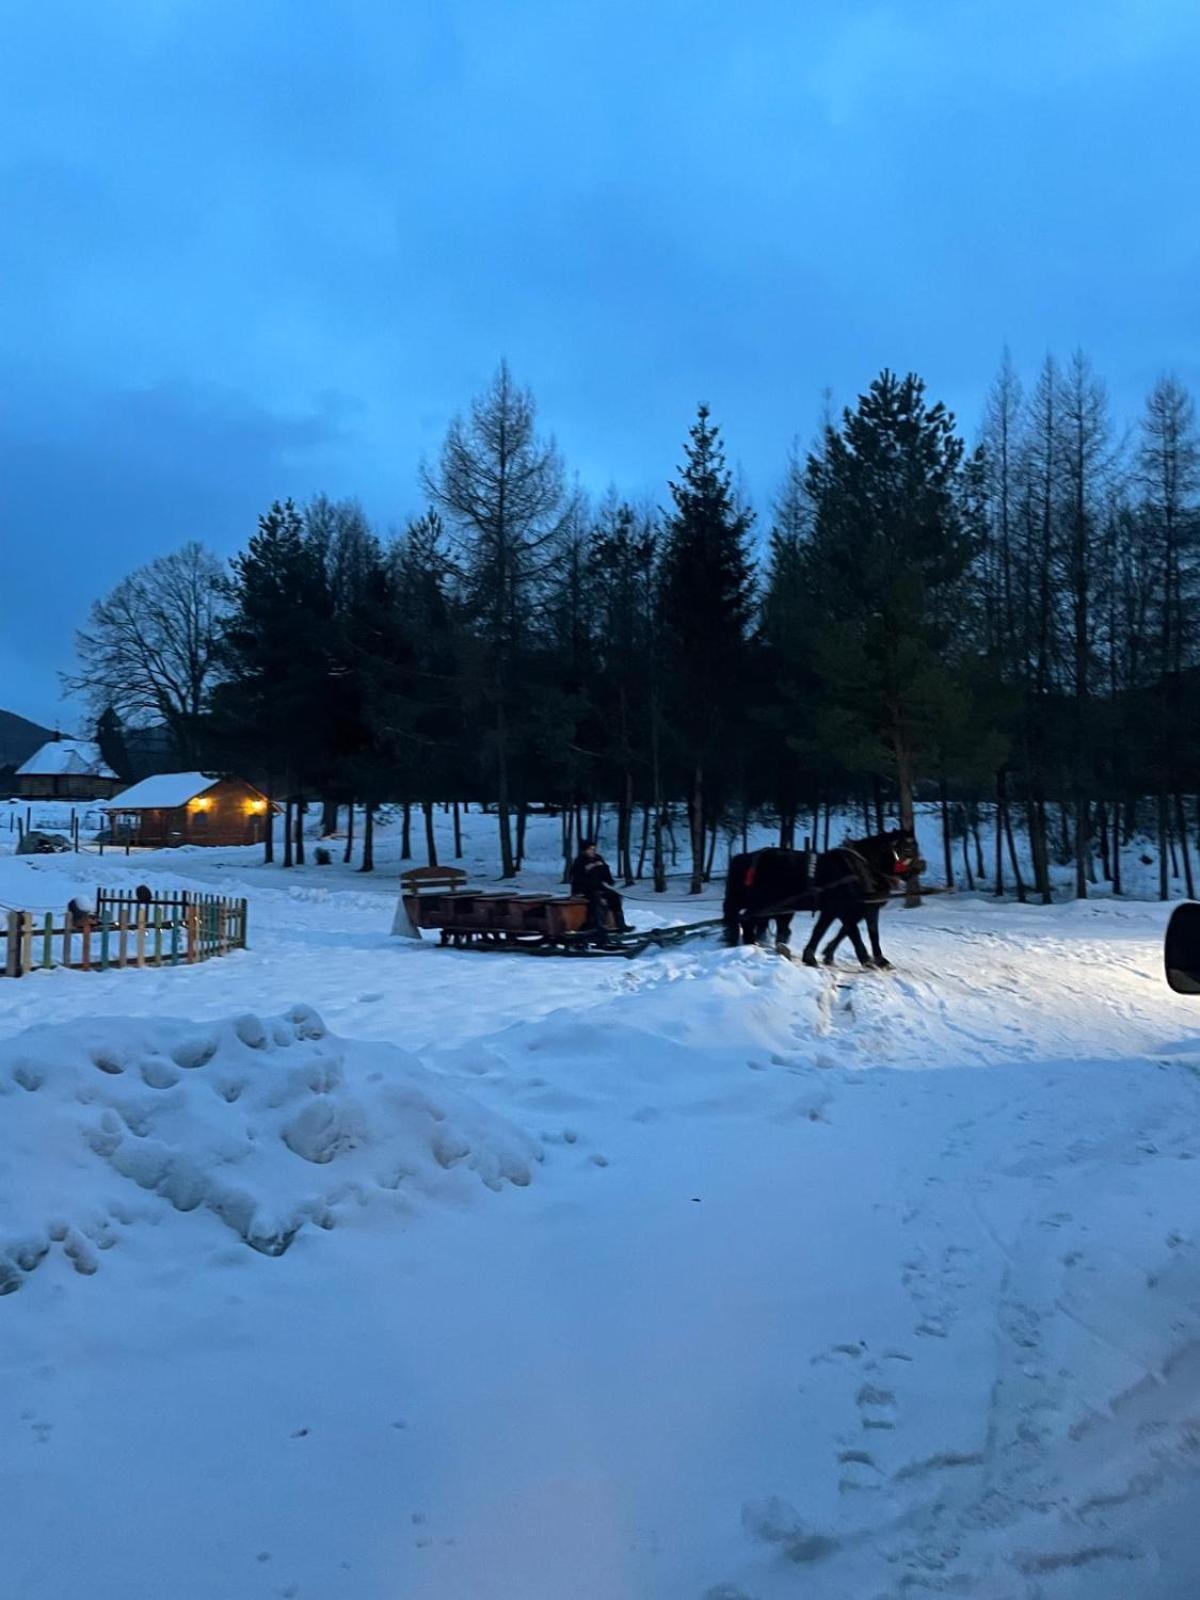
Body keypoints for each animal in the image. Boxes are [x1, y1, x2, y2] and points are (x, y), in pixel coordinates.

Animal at [729, 832, 928, 966]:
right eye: (907, 848)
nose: (923, 865)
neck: (860, 869)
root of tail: (745, 858)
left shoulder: (839, 910)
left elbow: (823, 931)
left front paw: (814, 956)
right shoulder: (849, 909)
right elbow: (857, 933)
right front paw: (868, 959)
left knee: (753, 922)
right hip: (765, 904)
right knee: (747, 920)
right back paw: (750, 946)